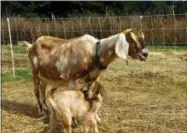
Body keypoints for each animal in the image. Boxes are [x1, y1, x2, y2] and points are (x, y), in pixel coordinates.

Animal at [19, 28, 148, 115]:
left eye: (142, 37)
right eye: (131, 39)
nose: (145, 54)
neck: (94, 53)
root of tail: (31, 45)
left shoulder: (92, 81)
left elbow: (89, 97)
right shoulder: (73, 81)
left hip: (45, 75)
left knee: (42, 88)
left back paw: (46, 108)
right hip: (34, 73)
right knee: (36, 91)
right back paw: (41, 111)